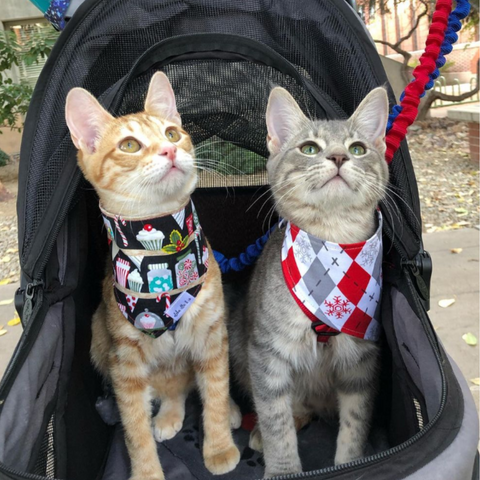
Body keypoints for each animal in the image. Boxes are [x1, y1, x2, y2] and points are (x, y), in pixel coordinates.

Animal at [64, 72, 240, 480]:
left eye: (173, 133)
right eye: (129, 145)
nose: (169, 151)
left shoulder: (212, 336)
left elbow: (216, 390)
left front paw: (219, 445)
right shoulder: (125, 364)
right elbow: (134, 427)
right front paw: (146, 471)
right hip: (99, 335)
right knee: (170, 388)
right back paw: (169, 414)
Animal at [229, 86, 390, 476]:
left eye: (358, 149)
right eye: (309, 148)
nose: (338, 157)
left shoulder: (362, 361)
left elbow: (355, 423)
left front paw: (351, 464)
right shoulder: (267, 356)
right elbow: (277, 421)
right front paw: (282, 469)